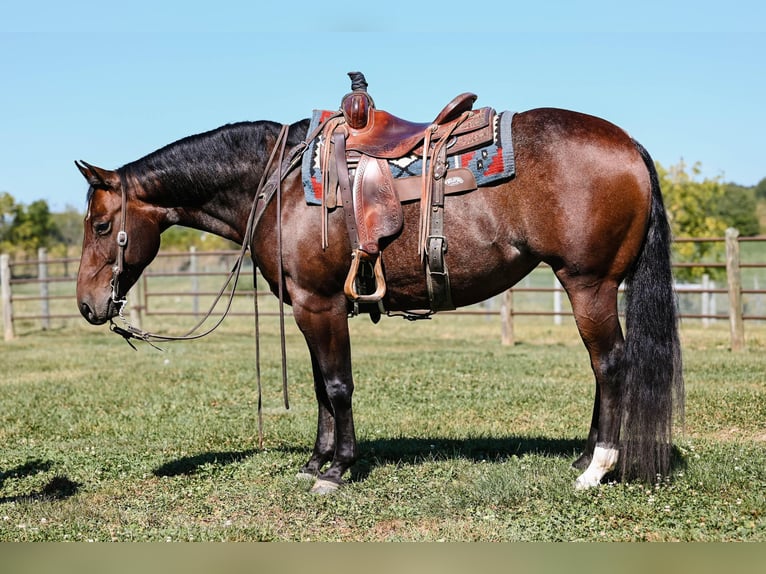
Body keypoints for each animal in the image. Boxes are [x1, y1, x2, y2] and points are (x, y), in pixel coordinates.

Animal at [75, 103, 688, 496]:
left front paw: (335, 471)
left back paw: (597, 468)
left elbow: (338, 386)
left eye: (102, 226)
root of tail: (629, 146)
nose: (86, 305)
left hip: (589, 284)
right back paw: (586, 456)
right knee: (604, 368)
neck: (279, 185)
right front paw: (315, 462)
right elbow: (321, 388)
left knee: (610, 364)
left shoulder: (320, 303)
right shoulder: (310, 308)